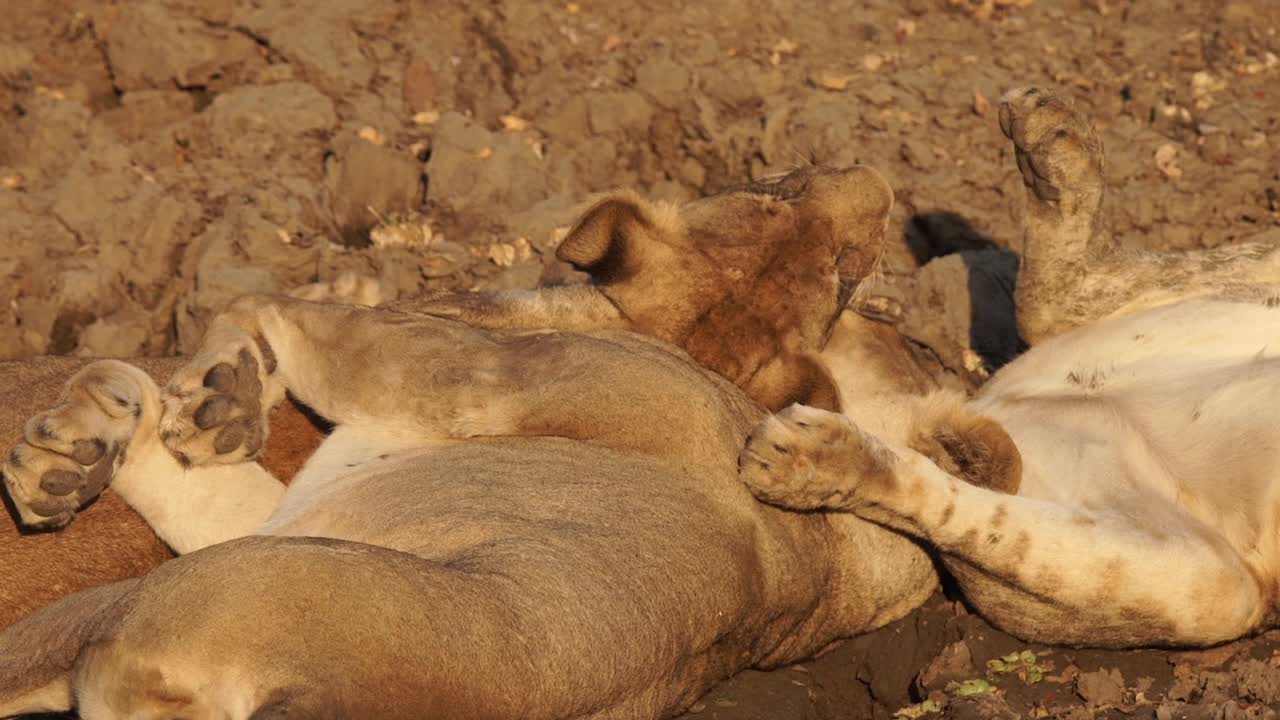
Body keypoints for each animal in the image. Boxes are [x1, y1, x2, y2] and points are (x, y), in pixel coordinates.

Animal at [0, 163, 947, 717]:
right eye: (775, 194)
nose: (875, 177)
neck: (689, 345)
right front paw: (80, 450)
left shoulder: (463, 372)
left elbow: (264, 305)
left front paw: (215, 391)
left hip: (124, 606)